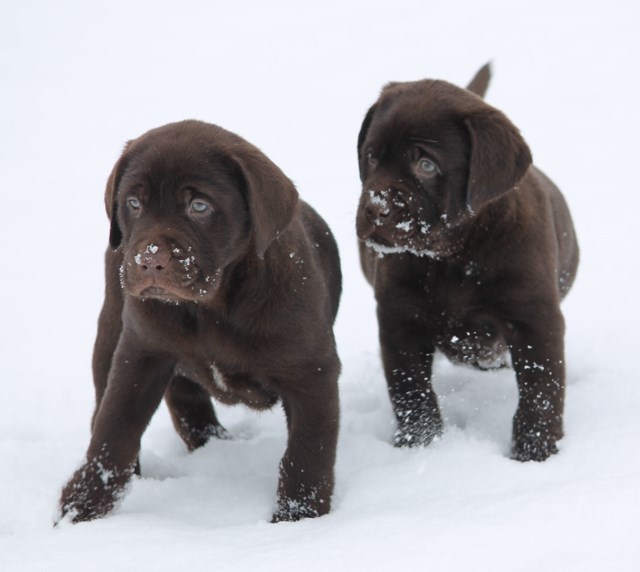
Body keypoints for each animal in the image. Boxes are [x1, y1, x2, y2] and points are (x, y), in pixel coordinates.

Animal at [57, 120, 342, 524]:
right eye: (134, 203)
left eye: (199, 206)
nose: (149, 260)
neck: (211, 308)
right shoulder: (142, 352)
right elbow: (114, 431)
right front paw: (79, 510)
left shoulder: (311, 374)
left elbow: (307, 453)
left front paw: (298, 520)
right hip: (112, 331)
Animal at [358, 66, 576, 460]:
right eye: (371, 156)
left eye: (426, 165)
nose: (374, 208)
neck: (454, 257)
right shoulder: (400, 320)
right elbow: (411, 392)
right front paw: (420, 444)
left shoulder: (535, 319)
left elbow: (541, 389)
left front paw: (534, 452)